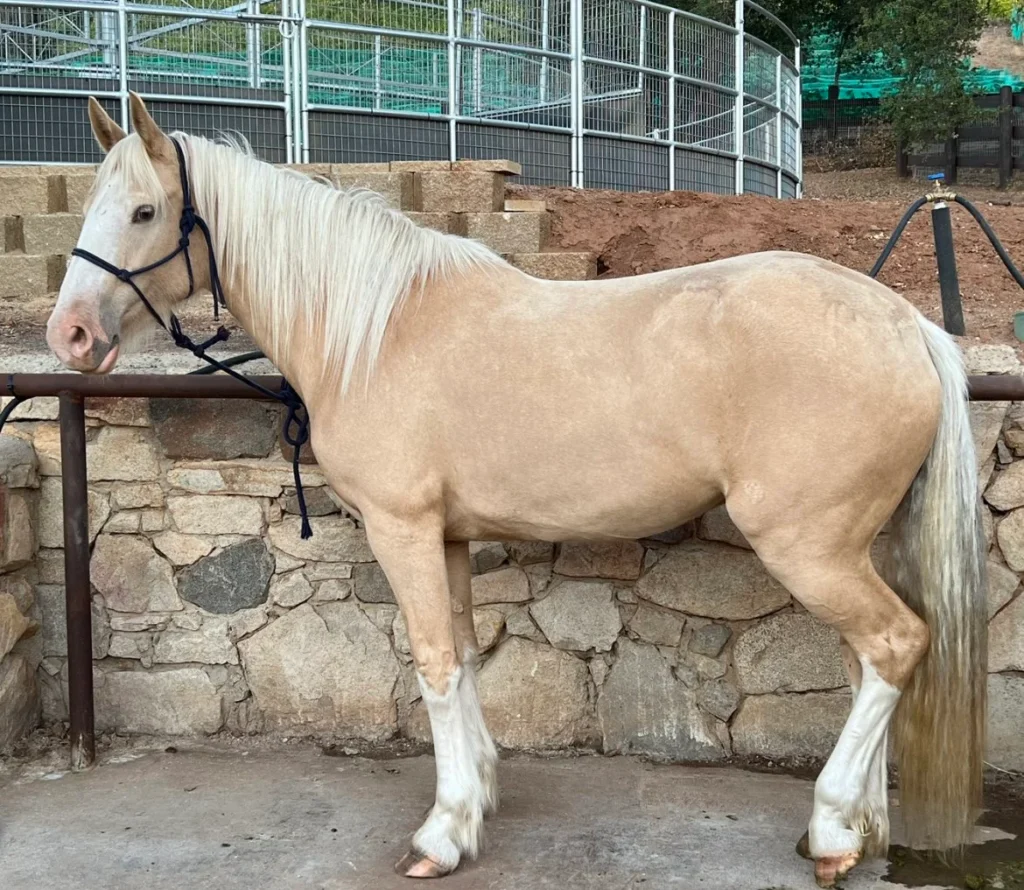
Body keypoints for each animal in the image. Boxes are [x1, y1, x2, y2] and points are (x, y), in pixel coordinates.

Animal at [46, 93, 987, 887]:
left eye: (143, 211)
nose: (72, 335)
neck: (377, 330)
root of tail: (907, 323)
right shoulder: (450, 537)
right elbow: (463, 658)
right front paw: (478, 800)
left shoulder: (402, 529)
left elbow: (431, 663)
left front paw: (442, 833)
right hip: (848, 548)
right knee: (872, 660)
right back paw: (857, 827)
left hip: (806, 546)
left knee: (895, 644)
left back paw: (831, 830)